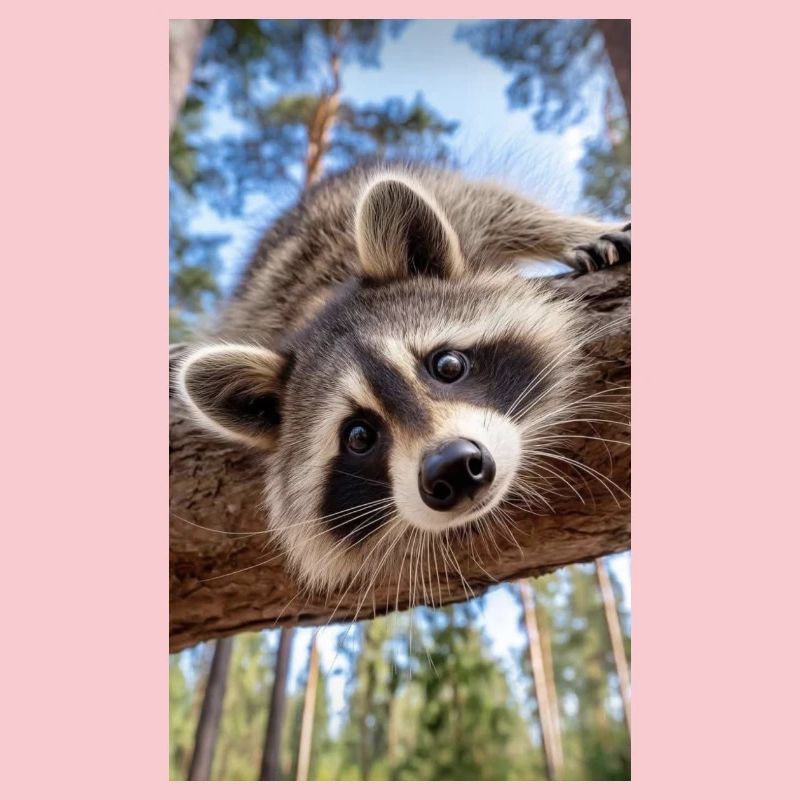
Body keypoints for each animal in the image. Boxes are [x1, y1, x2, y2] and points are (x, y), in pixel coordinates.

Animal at [177, 164, 630, 594]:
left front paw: (573, 231)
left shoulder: (463, 211)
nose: (453, 468)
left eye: (447, 366)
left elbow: (502, 207)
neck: (320, 302)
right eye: (358, 436)